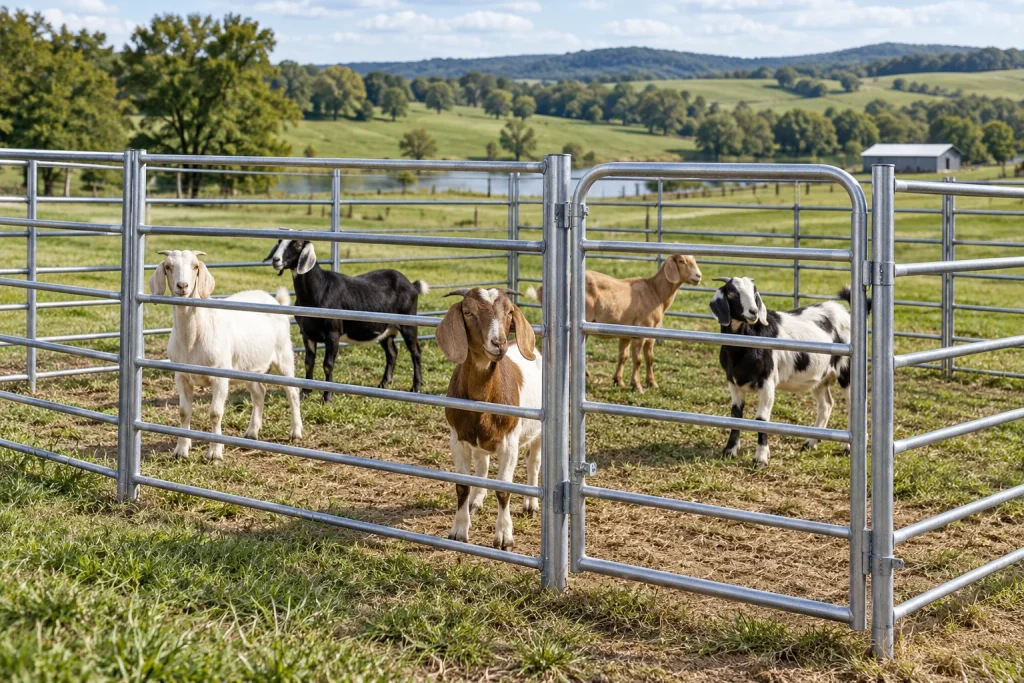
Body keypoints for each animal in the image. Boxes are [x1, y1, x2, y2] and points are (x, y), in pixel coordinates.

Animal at [149, 249, 302, 462]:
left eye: (195, 266)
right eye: (168, 267)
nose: (183, 286)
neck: (192, 338)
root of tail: (273, 299)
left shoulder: (220, 377)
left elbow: (215, 413)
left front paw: (215, 452)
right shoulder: (181, 376)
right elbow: (183, 412)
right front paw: (181, 450)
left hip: (284, 354)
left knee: (292, 392)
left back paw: (296, 432)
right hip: (248, 367)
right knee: (259, 393)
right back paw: (252, 432)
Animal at [266, 238, 427, 399]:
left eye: (298, 244)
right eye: (279, 242)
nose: (276, 260)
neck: (318, 290)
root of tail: (412, 286)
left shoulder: (333, 333)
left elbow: (328, 365)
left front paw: (327, 396)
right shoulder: (307, 333)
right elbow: (309, 362)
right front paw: (305, 393)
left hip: (409, 324)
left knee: (416, 353)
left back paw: (416, 387)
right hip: (386, 330)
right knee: (392, 353)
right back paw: (384, 384)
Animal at [436, 287, 540, 551]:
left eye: (510, 311)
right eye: (468, 311)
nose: (499, 343)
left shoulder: (509, 444)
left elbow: (503, 490)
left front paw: (504, 537)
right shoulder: (458, 439)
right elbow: (462, 485)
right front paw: (459, 530)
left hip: (540, 432)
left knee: (534, 461)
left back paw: (531, 503)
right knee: (482, 466)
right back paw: (476, 500)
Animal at [528, 254, 701, 392]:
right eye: (681, 261)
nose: (698, 276)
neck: (656, 293)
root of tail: (543, 291)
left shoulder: (634, 333)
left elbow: (636, 357)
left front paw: (630, 381)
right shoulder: (641, 331)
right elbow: (638, 360)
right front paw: (637, 386)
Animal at [710, 277, 863, 467]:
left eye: (754, 291)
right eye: (731, 293)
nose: (753, 312)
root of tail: (844, 312)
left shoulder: (767, 382)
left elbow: (761, 419)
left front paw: (761, 458)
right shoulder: (733, 382)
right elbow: (735, 416)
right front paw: (730, 451)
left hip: (847, 372)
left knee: (852, 406)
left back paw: (848, 448)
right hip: (821, 377)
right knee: (826, 404)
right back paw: (810, 443)